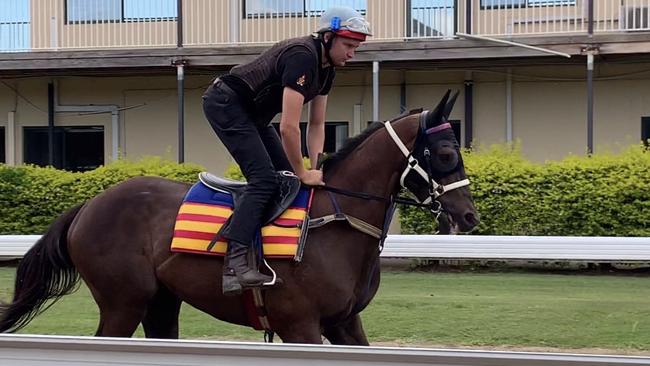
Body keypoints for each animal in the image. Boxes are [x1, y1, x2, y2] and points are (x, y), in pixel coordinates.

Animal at [0, 90, 476, 344]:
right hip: (123, 302)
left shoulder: (344, 322)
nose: (469, 216)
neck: (333, 222)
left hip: (160, 302)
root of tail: (87, 206)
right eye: (445, 153)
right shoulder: (300, 325)